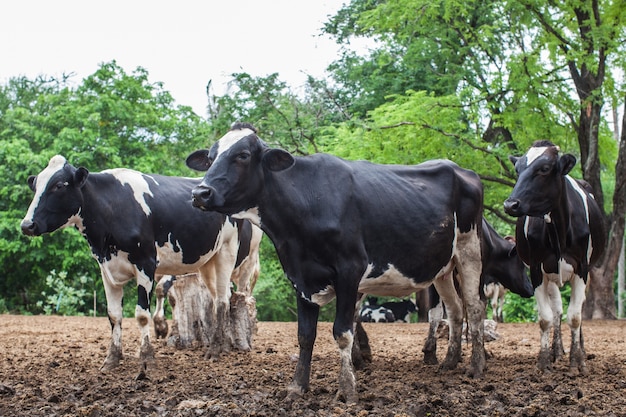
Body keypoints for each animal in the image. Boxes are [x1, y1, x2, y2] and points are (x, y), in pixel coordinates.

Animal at [183, 122, 486, 402]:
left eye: (243, 155)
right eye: (210, 157)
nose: (200, 193)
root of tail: (462, 170)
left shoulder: (350, 269)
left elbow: (342, 332)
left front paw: (347, 390)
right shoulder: (300, 277)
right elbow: (305, 335)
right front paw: (297, 387)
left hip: (470, 250)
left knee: (474, 307)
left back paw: (476, 366)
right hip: (443, 268)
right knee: (455, 310)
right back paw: (449, 362)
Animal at [502, 141, 604, 374]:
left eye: (545, 169)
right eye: (517, 170)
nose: (510, 205)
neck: (558, 229)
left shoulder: (582, 268)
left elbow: (575, 317)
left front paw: (577, 362)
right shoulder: (537, 268)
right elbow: (545, 318)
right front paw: (544, 361)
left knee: (577, 309)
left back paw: (580, 349)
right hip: (551, 275)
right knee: (557, 310)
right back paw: (557, 351)